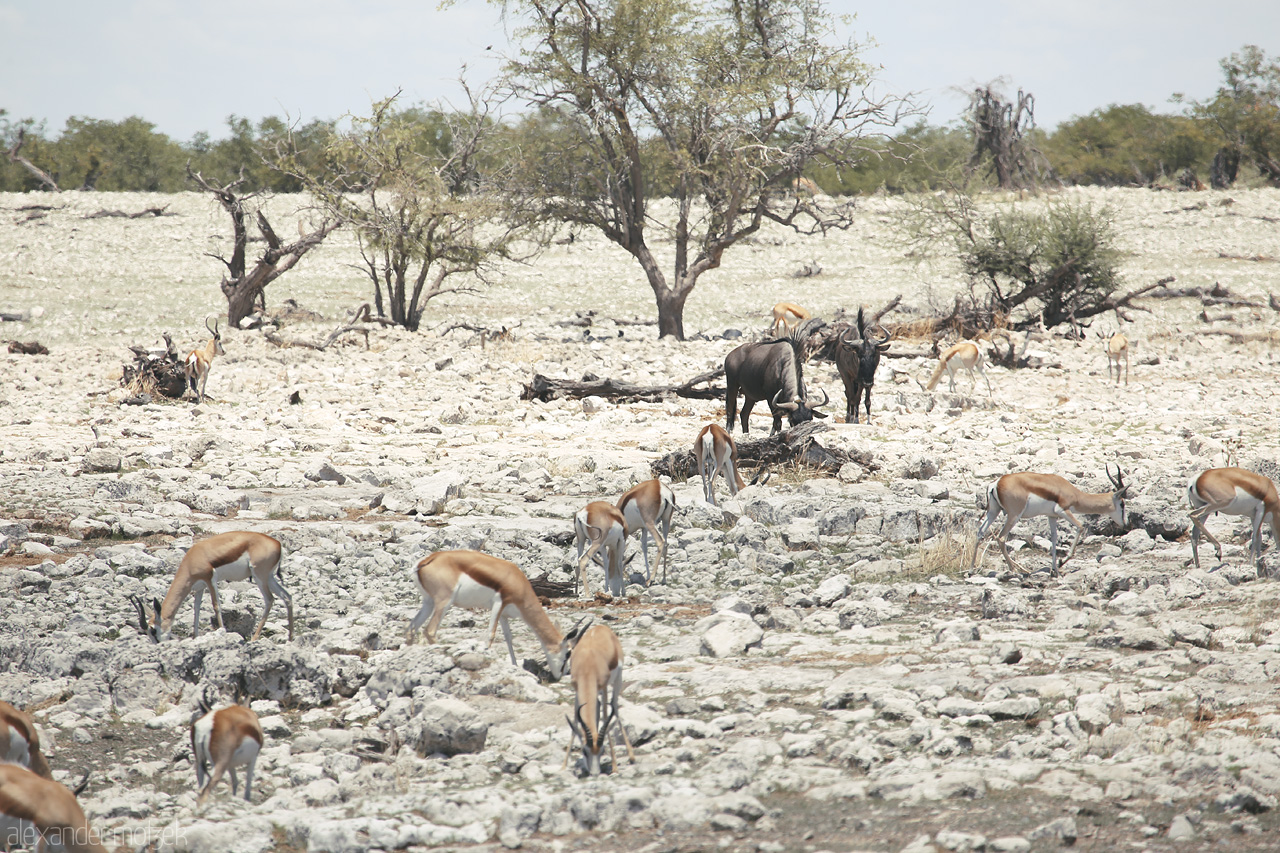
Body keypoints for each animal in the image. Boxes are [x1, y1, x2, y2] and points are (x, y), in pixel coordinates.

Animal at [130, 531, 294, 644]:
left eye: (153, 630)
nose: (158, 644)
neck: (191, 561)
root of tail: (277, 544)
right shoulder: (199, 587)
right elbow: (196, 609)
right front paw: (196, 637)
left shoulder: (210, 580)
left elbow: (216, 606)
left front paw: (222, 633)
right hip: (269, 578)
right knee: (287, 596)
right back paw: (290, 638)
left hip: (260, 577)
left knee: (269, 599)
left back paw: (254, 638)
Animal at [409, 550, 592, 679]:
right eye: (568, 653)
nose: (563, 674)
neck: (517, 581)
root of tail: (425, 561)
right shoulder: (498, 604)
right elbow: (491, 635)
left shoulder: (504, 614)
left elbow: (508, 638)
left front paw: (515, 666)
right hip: (444, 602)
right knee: (430, 630)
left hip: (428, 602)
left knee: (412, 627)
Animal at [562, 624, 635, 777]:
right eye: (584, 751)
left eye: (602, 751)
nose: (595, 773)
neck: (588, 665)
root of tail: (601, 626)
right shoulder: (577, 689)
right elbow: (575, 720)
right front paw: (563, 766)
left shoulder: (604, 686)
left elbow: (606, 716)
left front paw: (614, 767)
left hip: (617, 680)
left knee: (614, 706)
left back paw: (631, 756)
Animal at [969, 465, 1129, 576]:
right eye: (1122, 503)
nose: (1125, 524)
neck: (1073, 493)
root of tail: (996, 482)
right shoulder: (1063, 511)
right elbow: (1080, 527)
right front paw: (1061, 562)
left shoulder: (1052, 516)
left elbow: (1054, 538)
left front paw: (1055, 570)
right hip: (1014, 515)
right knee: (1001, 538)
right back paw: (1015, 570)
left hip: (993, 512)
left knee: (980, 533)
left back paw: (971, 570)